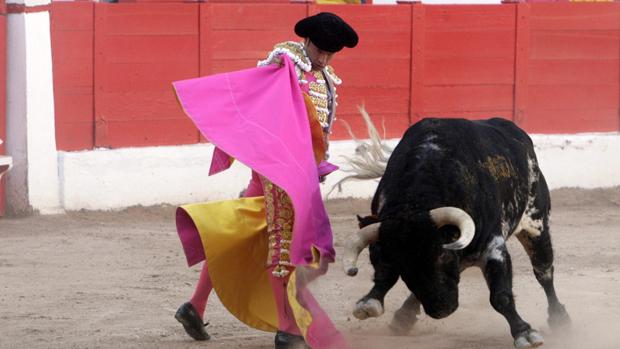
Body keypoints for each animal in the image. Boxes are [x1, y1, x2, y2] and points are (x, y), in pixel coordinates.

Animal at [344, 118, 572, 346]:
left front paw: (525, 333)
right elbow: (385, 274)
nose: (441, 309)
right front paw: (370, 303)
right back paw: (404, 316)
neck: (414, 204)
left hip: (536, 225)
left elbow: (500, 296)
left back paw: (560, 319)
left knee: (544, 272)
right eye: (402, 264)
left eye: (442, 254)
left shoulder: (493, 246)